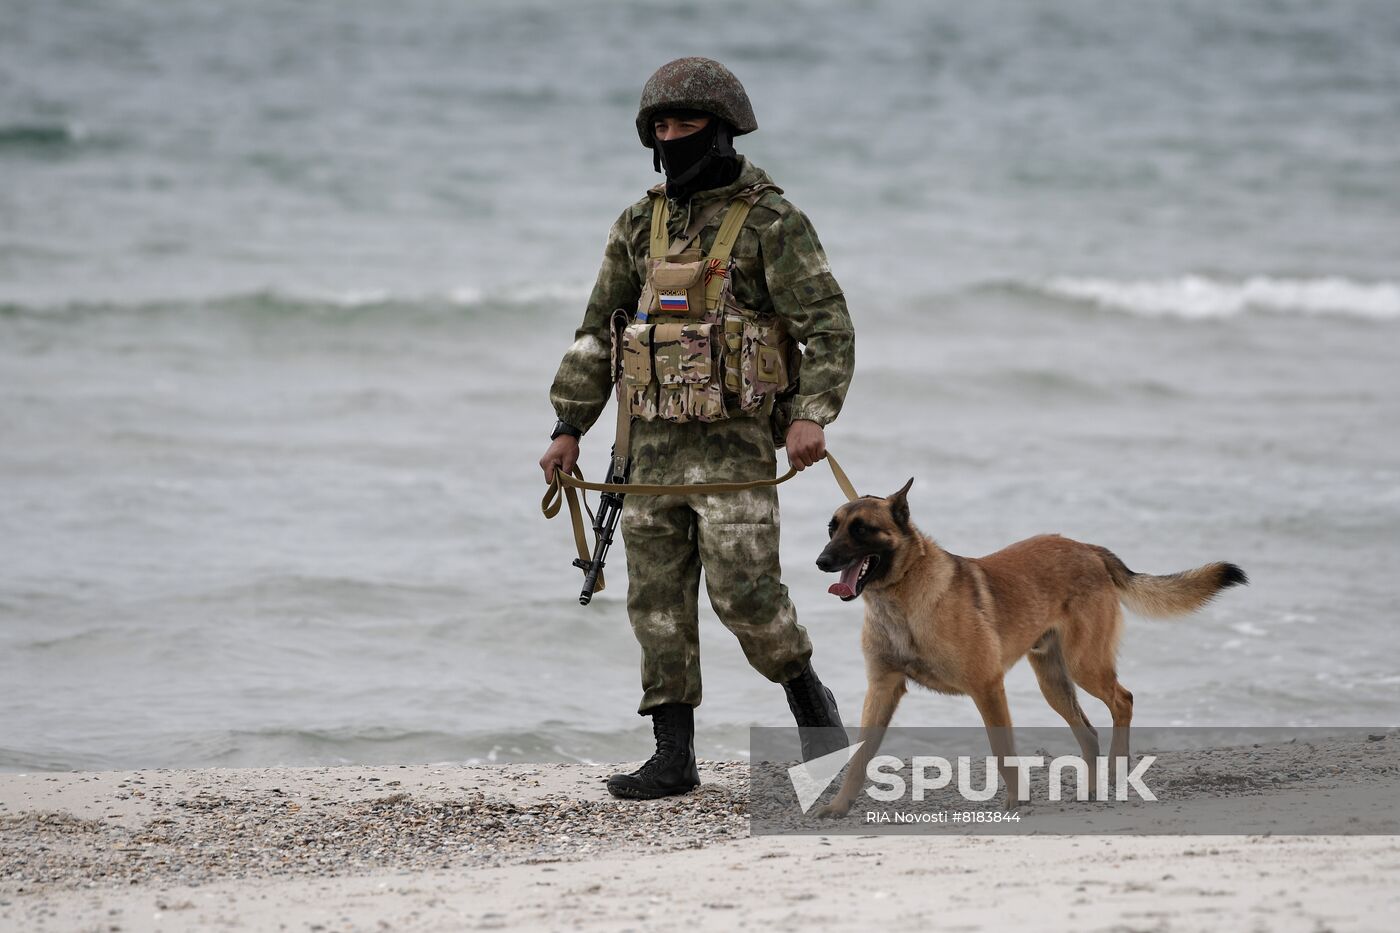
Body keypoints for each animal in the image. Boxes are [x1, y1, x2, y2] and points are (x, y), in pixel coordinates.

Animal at [812, 476, 1248, 812]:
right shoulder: (882, 689)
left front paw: (1017, 800)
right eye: (832, 528)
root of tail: (1089, 549)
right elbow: (860, 756)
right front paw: (839, 805)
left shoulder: (987, 687)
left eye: (862, 529)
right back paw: (1093, 788)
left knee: (1122, 700)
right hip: (1053, 681)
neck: (902, 599)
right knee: (1088, 731)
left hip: (1084, 665)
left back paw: (1116, 770)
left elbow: (1003, 750)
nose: (821, 562)